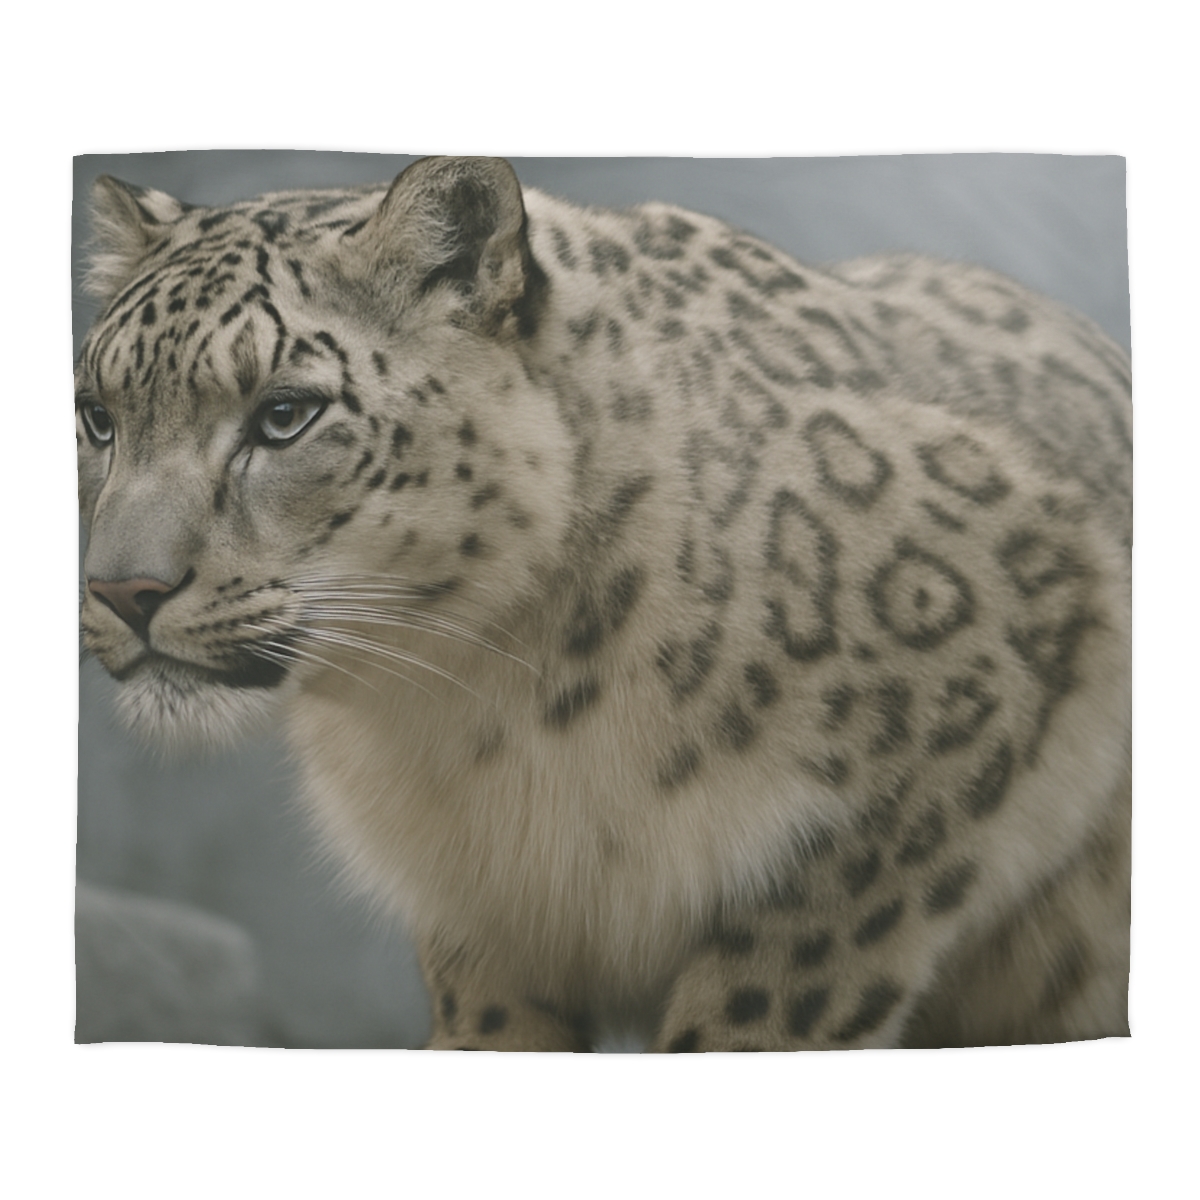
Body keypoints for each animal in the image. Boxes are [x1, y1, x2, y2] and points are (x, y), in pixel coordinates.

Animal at [76, 156, 1132, 1051]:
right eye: (98, 415)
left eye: (285, 414)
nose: (123, 590)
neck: (479, 712)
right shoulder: (481, 914)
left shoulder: (910, 789)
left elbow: (766, 1002)